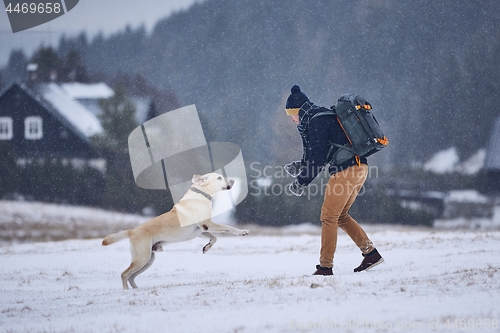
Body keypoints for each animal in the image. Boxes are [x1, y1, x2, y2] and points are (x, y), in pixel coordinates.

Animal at [102, 172, 250, 290]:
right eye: (219, 177)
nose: (233, 181)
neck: (201, 195)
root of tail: (131, 231)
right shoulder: (207, 224)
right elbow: (229, 228)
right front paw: (242, 232)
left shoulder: (202, 230)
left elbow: (214, 238)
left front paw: (206, 247)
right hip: (142, 258)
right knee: (125, 274)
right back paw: (126, 291)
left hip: (148, 260)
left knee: (131, 277)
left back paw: (136, 290)